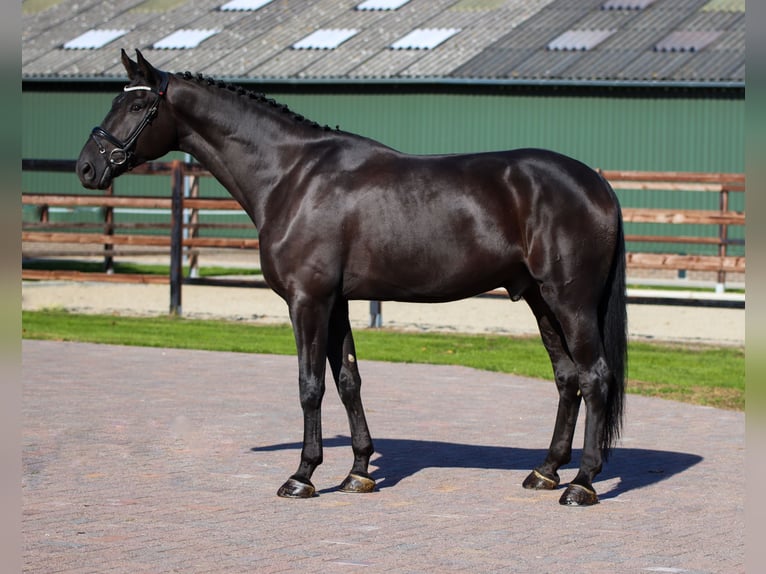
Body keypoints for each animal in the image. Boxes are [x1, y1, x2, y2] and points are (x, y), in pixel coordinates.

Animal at [79, 51, 632, 506]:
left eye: (137, 104)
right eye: (114, 100)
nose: (86, 167)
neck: (292, 176)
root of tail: (596, 182)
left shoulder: (307, 301)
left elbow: (310, 385)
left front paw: (302, 475)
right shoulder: (337, 301)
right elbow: (348, 380)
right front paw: (359, 472)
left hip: (570, 301)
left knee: (595, 376)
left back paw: (582, 483)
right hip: (540, 299)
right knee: (567, 378)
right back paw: (546, 471)